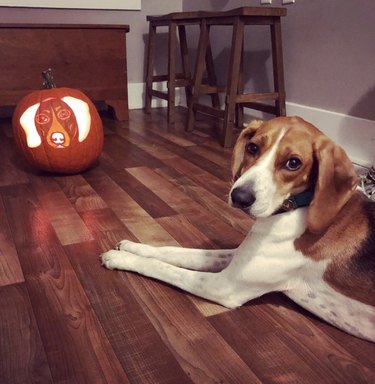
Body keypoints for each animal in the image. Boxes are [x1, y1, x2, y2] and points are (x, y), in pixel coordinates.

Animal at [100, 115, 375, 340]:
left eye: (293, 163)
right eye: (253, 147)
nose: (240, 197)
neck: (297, 206)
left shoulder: (224, 286)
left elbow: (164, 268)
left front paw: (121, 258)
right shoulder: (236, 256)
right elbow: (175, 252)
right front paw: (133, 247)